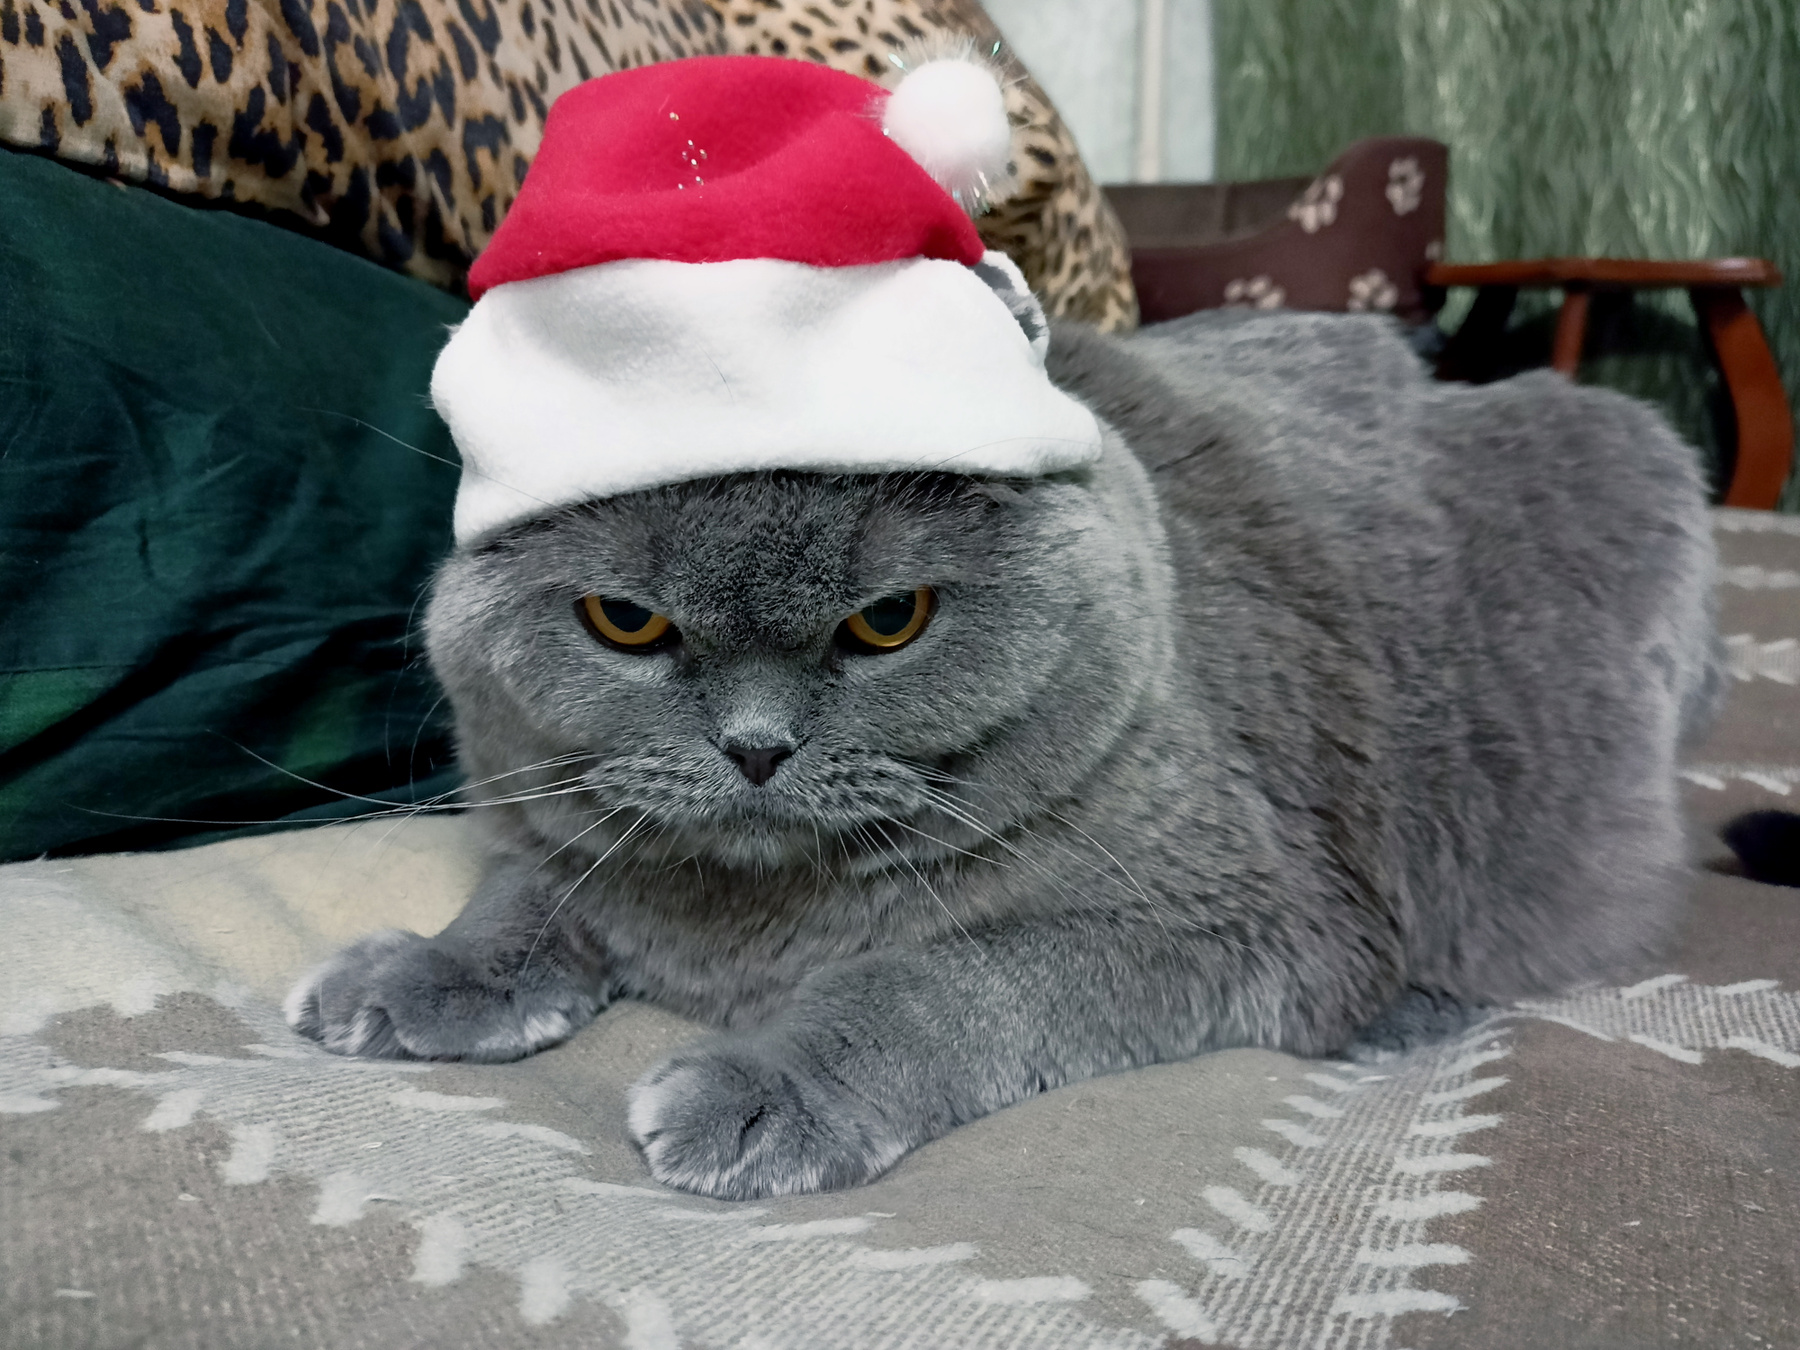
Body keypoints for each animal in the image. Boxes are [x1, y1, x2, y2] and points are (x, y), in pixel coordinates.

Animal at [286, 307, 1721, 1200]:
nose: (754, 746)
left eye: (890, 619)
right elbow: (527, 886)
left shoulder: (1237, 914)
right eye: (625, 621)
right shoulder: (553, 814)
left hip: (1637, 482)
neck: (743, 930)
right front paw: (417, 974)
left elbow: (937, 977)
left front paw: (766, 1087)